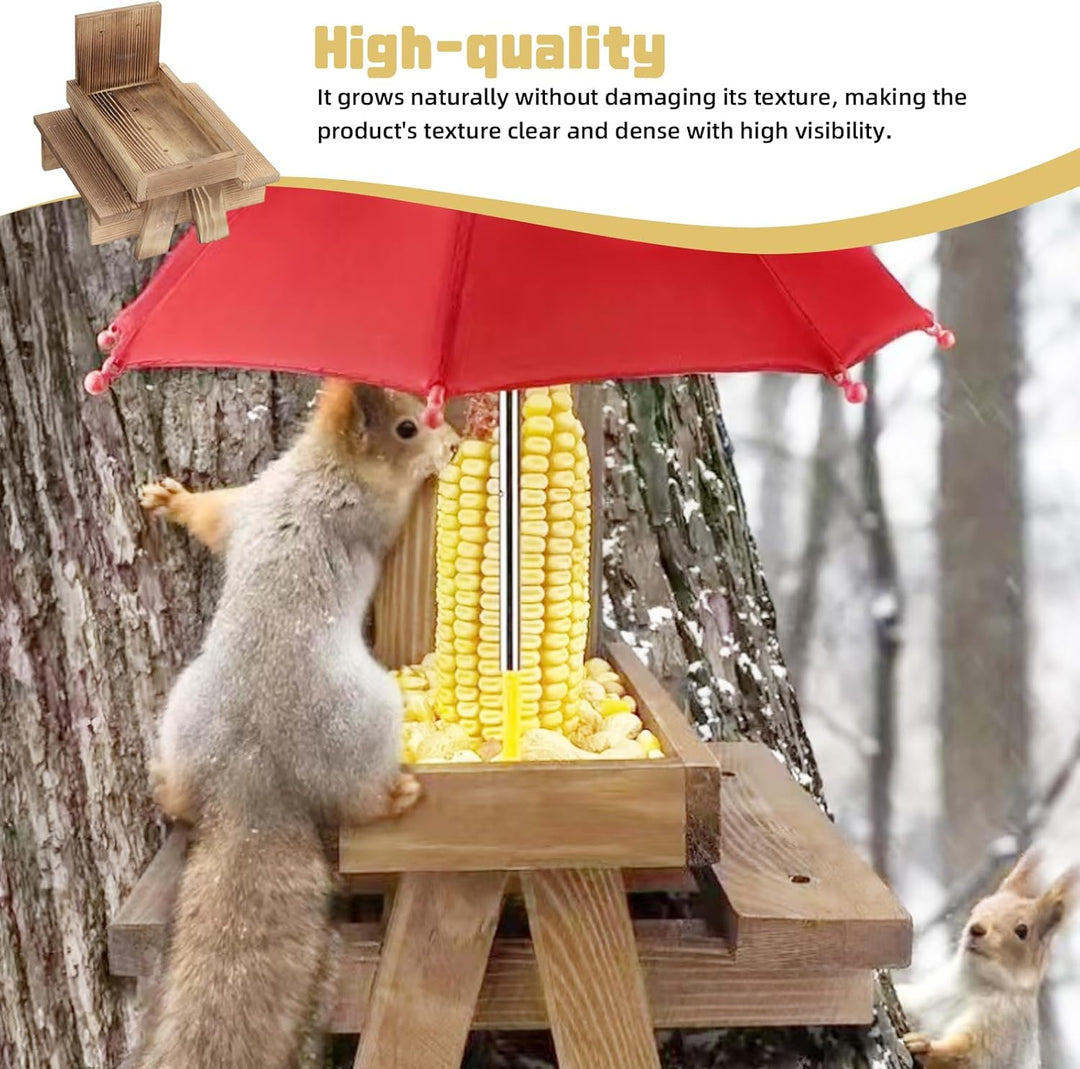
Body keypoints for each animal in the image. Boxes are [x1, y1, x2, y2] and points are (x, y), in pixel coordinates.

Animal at [131, 380, 458, 1068]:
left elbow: (213, 516)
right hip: (364, 719)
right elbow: (395, 510)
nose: (453, 439)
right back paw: (396, 796)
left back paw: (165, 785)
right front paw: (435, 468)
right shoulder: (367, 512)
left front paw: (170, 499)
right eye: (407, 428)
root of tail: (253, 778)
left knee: (180, 794)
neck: (320, 468)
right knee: (356, 801)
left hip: (183, 711)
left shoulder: (250, 501)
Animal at [897, 851, 1076, 1069]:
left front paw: (924, 1047)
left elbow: (968, 1058)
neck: (973, 984)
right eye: (978, 907)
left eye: (1022, 931)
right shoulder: (930, 996)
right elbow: (910, 1001)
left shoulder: (1002, 1029)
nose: (976, 928)